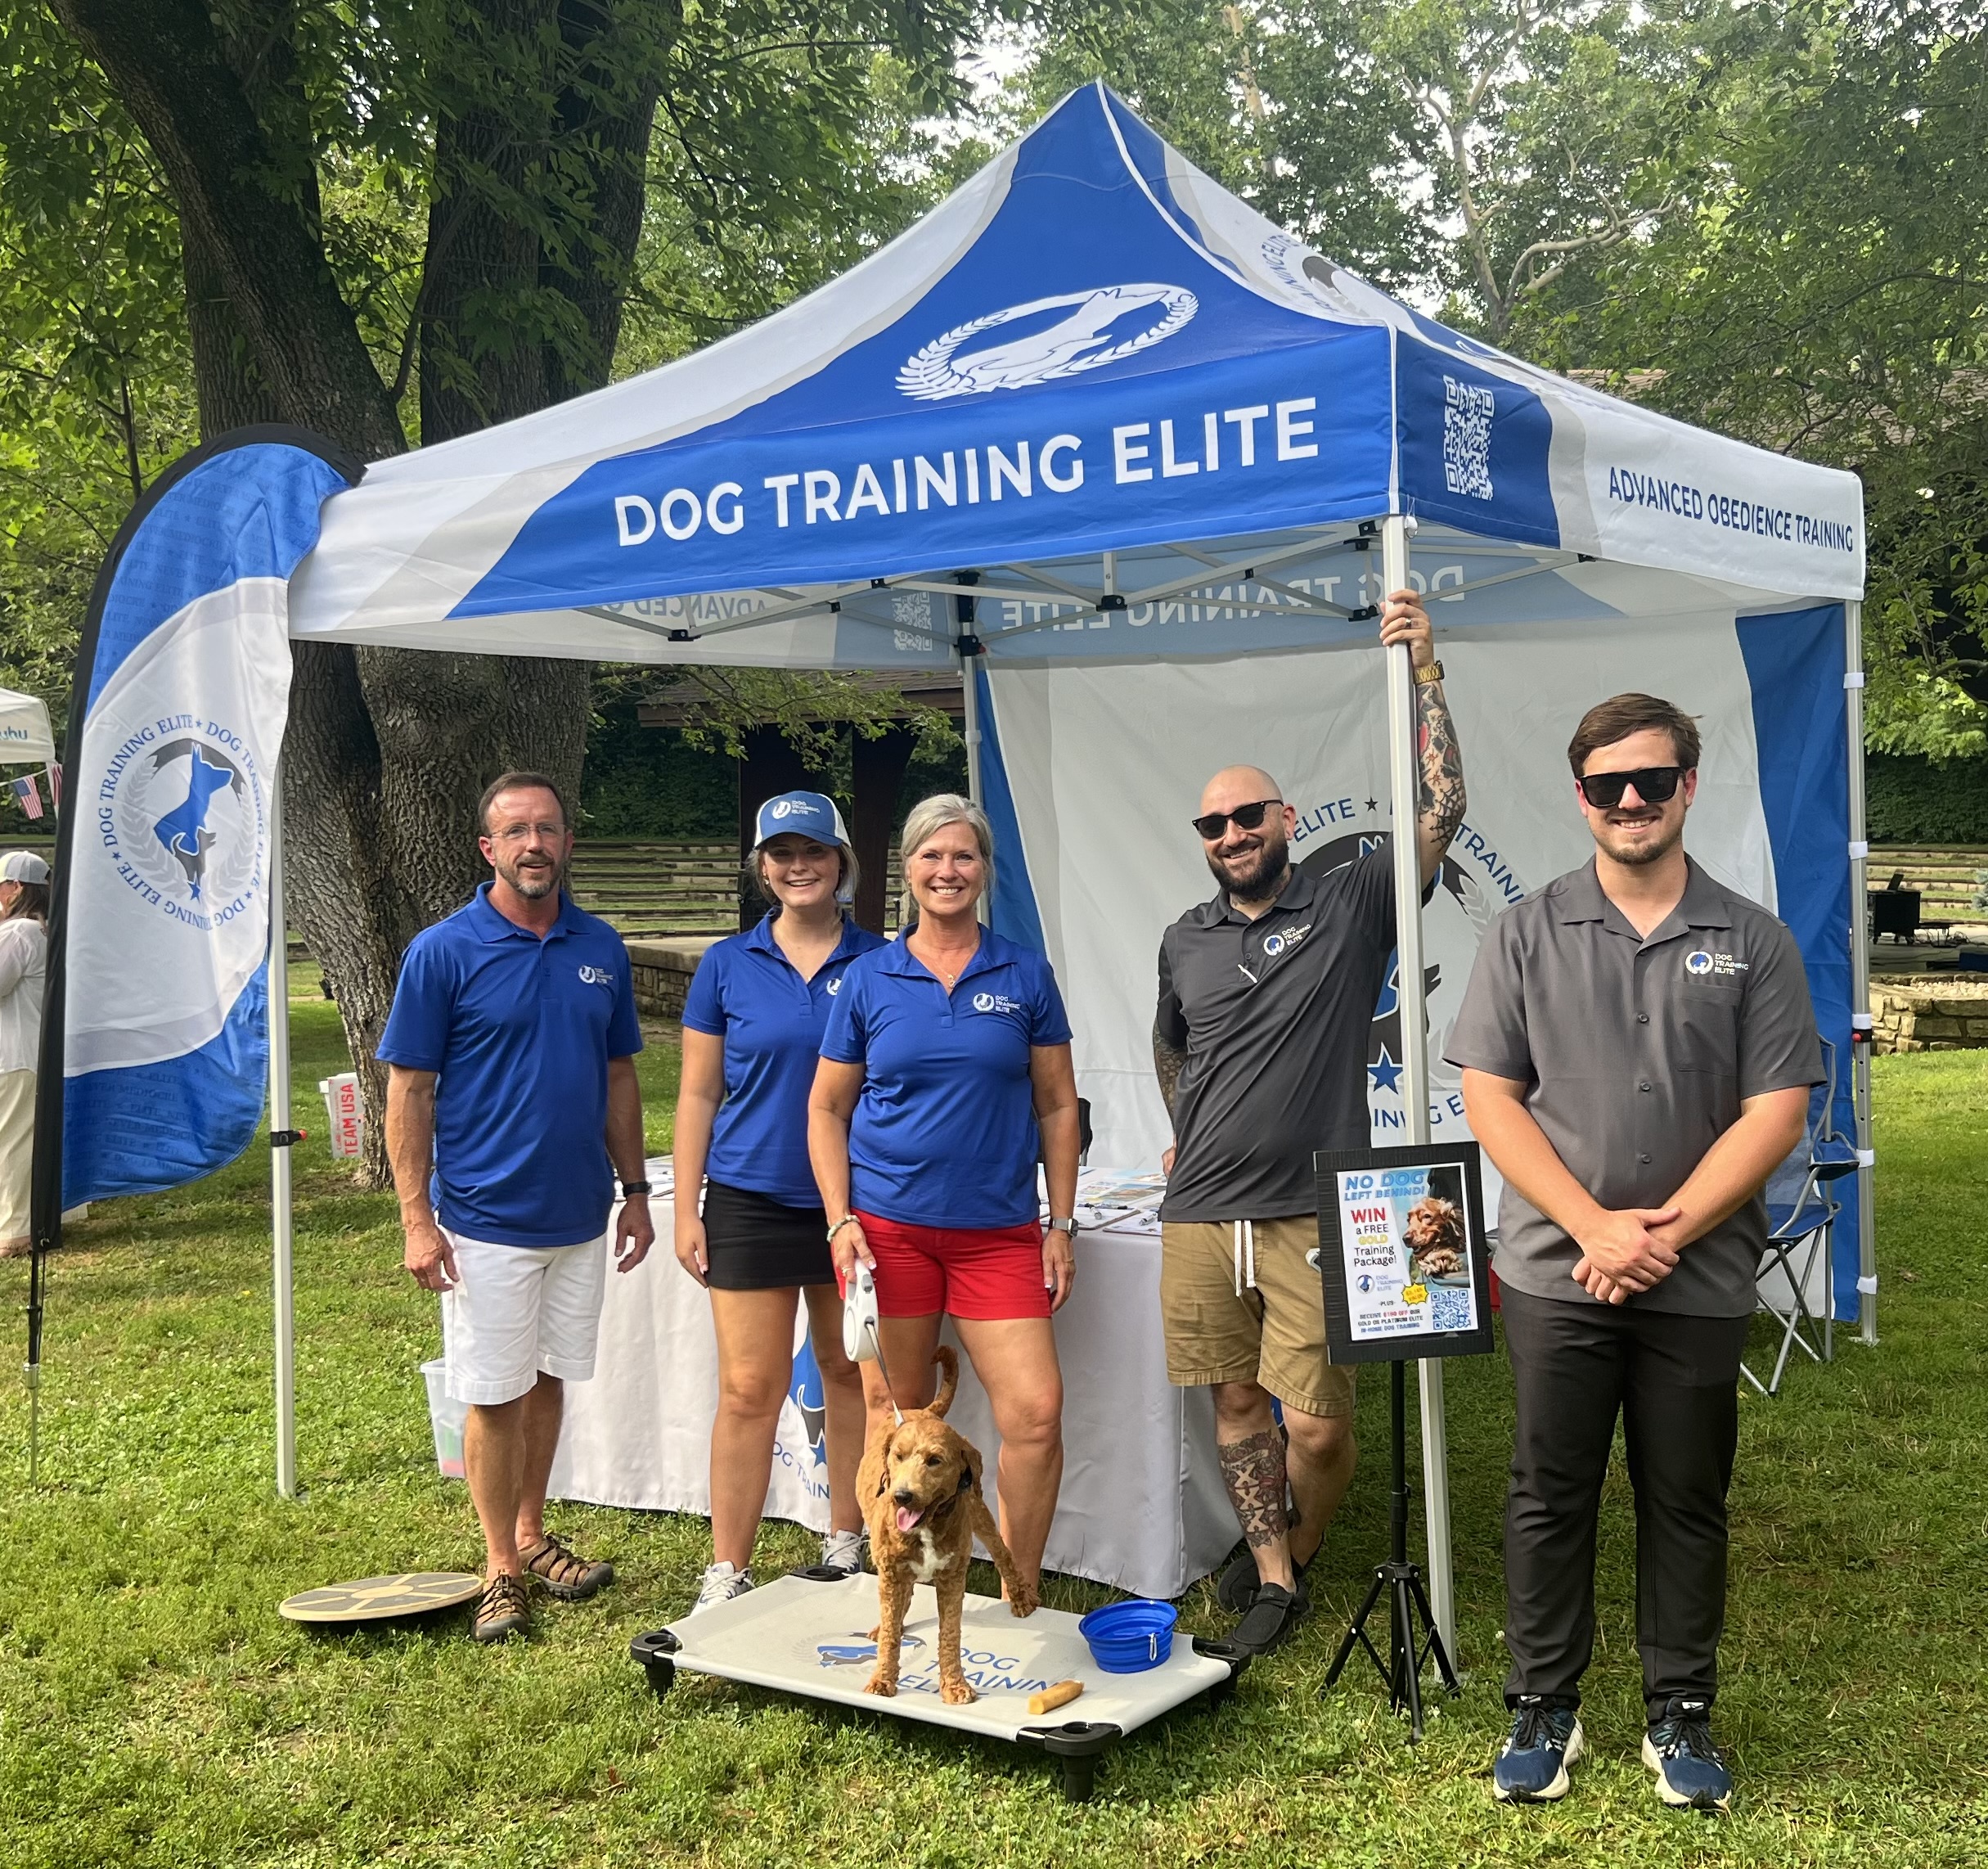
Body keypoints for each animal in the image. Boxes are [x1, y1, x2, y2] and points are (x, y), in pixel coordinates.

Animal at [854, 1344, 1041, 1709]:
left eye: (935, 1461)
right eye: (898, 1456)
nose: (902, 1496)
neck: (926, 1526)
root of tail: (923, 1411)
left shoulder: (954, 1577)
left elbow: (950, 1635)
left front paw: (954, 1686)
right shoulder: (891, 1571)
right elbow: (890, 1633)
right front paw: (883, 1679)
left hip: (979, 1510)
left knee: (1003, 1552)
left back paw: (1020, 1598)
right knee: (898, 1602)